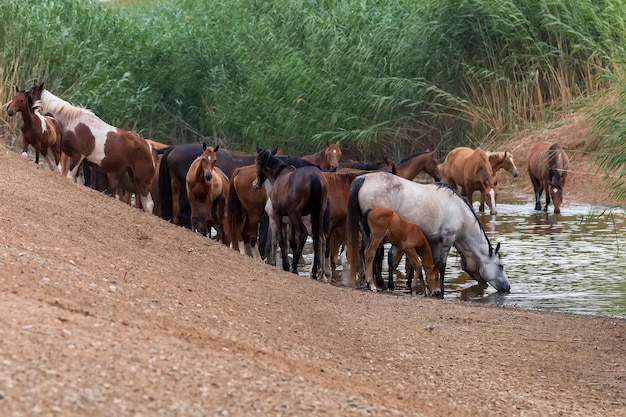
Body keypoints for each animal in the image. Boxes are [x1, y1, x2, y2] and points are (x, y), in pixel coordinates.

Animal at [28, 80, 156, 211]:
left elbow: (69, 177)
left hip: (141, 180)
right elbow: (80, 180)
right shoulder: (80, 161)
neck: (72, 122)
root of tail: (149, 147)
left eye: (29, 93)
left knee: (149, 204)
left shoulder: (77, 155)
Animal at [251, 146, 330, 280]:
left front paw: (284, 264)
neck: (278, 176)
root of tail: (314, 178)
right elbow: (291, 241)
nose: (255, 184)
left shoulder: (277, 216)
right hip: (317, 215)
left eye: (256, 162)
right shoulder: (288, 222)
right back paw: (316, 272)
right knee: (318, 240)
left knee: (304, 234)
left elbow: (280, 240)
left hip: (297, 216)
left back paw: (296, 268)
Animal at [344, 171, 510, 296]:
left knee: (368, 253)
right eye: (501, 266)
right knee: (374, 254)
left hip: (366, 231)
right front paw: (440, 292)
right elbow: (441, 265)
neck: (460, 212)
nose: (508, 287)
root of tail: (363, 178)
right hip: (377, 234)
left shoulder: (433, 242)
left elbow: (429, 264)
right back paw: (377, 284)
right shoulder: (447, 241)